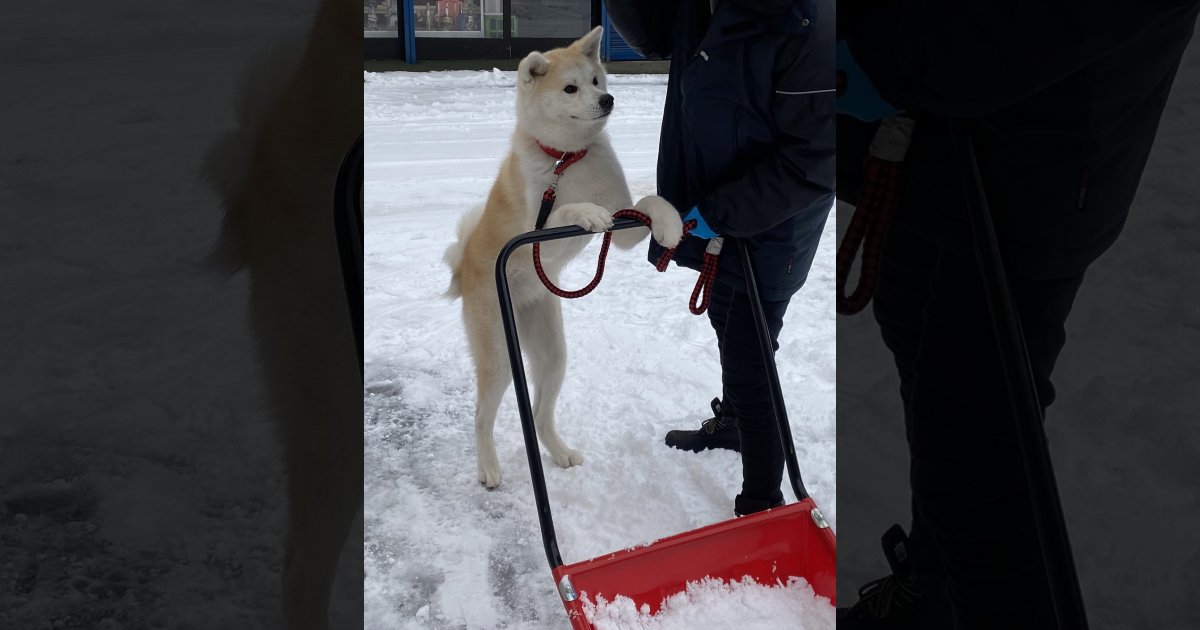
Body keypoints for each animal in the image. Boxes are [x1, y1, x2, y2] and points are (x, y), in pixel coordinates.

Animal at [444, 27, 686, 489]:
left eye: (596, 80)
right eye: (570, 88)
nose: (608, 99)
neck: (566, 159)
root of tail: (463, 267)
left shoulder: (625, 225)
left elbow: (649, 203)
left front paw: (672, 223)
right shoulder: (535, 235)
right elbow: (565, 211)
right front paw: (586, 213)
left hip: (553, 351)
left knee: (540, 414)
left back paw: (559, 452)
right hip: (500, 355)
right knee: (482, 415)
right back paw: (488, 467)